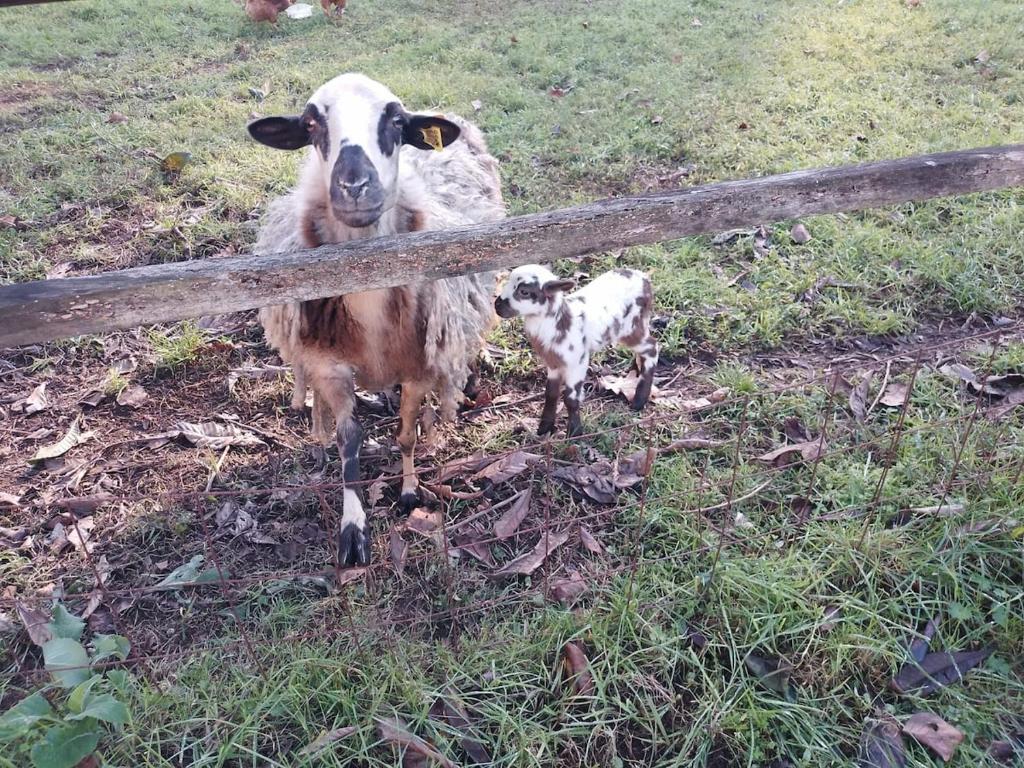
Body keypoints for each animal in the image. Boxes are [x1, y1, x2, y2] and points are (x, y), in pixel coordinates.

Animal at [248, 73, 505, 567]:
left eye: (397, 122)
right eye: (311, 123)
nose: (354, 185)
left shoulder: (419, 366)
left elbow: (406, 435)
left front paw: (408, 493)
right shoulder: (330, 366)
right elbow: (349, 443)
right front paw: (353, 531)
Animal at [494, 264, 658, 437]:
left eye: (524, 291)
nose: (497, 305)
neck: (559, 322)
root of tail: (643, 278)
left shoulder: (577, 361)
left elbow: (571, 399)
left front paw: (575, 433)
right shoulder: (553, 363)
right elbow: (551, 394)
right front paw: (544, 428)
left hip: (632, 328)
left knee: (652, 348)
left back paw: (639, 401)